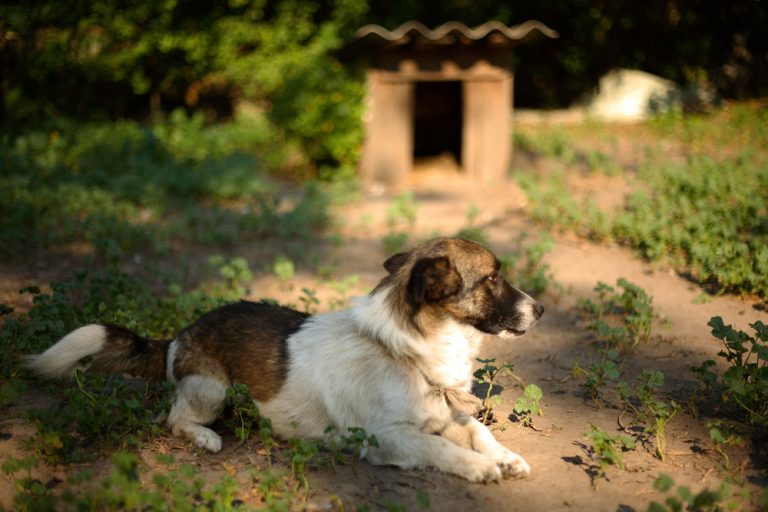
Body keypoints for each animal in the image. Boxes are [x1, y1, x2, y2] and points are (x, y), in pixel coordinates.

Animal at [27, 238, 544, 482]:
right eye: (493, 278)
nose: (541, 310)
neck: (406, 353)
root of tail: (179, 335)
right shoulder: (387, 438)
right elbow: (444, 450)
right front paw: (480, 468)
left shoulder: (446, 413)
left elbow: (479, 432)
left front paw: (507, 458)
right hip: (211, 390)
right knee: (172, 419)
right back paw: (205, 438)